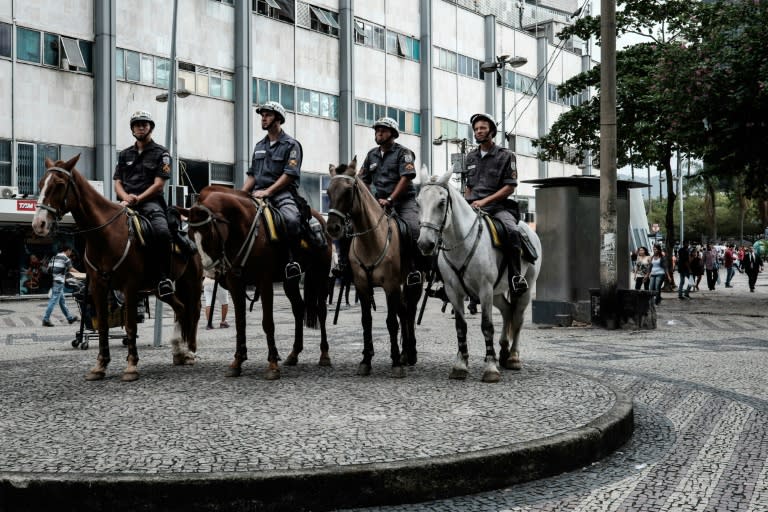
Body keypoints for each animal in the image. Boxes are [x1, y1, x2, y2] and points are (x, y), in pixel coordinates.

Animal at [31, 154, 202, 382]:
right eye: (41, 184)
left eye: (59, 184)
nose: (39, 224)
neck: (105, 235)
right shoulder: (98, 286)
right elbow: (102, 324)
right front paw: (100, 365)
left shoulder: (130, 287)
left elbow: (130, 325)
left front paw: (131, 366)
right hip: (160, 288)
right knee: (181, 308)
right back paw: (178, 350)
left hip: (192, 282)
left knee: (194, 311)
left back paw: (190, 351)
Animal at [185, 186, 332, 378]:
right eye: (189, 234)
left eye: (209, 233)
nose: (207, 270)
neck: (243, 229)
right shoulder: (235, 284)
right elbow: (240, 322)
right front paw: (237, 362)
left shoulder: (264, 282)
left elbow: (268, 322)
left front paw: (272, 364)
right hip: (289, 281)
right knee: (298, 309)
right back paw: (294, 354)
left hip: (320, 274)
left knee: (321, 310)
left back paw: (324, 355)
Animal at [322, 158, 424, 378]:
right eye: (328, 191)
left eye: (348, 191)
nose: (333, 228)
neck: (371, 240)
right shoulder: (362, 285)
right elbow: (366, 320)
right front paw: (366, 360)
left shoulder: (390, 285)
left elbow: (391, 322)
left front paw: (395, 363)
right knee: (404, 312)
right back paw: (405, 353)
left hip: (414, 283)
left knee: (410, 312)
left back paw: (410, 353)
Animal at [416, 170, 544, 382]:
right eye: (418, 202)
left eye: (441, 203)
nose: (425, 244)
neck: (461, 243)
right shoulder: (454, 291)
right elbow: (460, 326)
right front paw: (461, 364)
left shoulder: (484, 290)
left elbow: (487, 326)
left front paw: (490, 368)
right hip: (497, 292)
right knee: (507, 311)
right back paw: (503, 351)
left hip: (523, 289)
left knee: (517, 317)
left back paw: (513, 357)